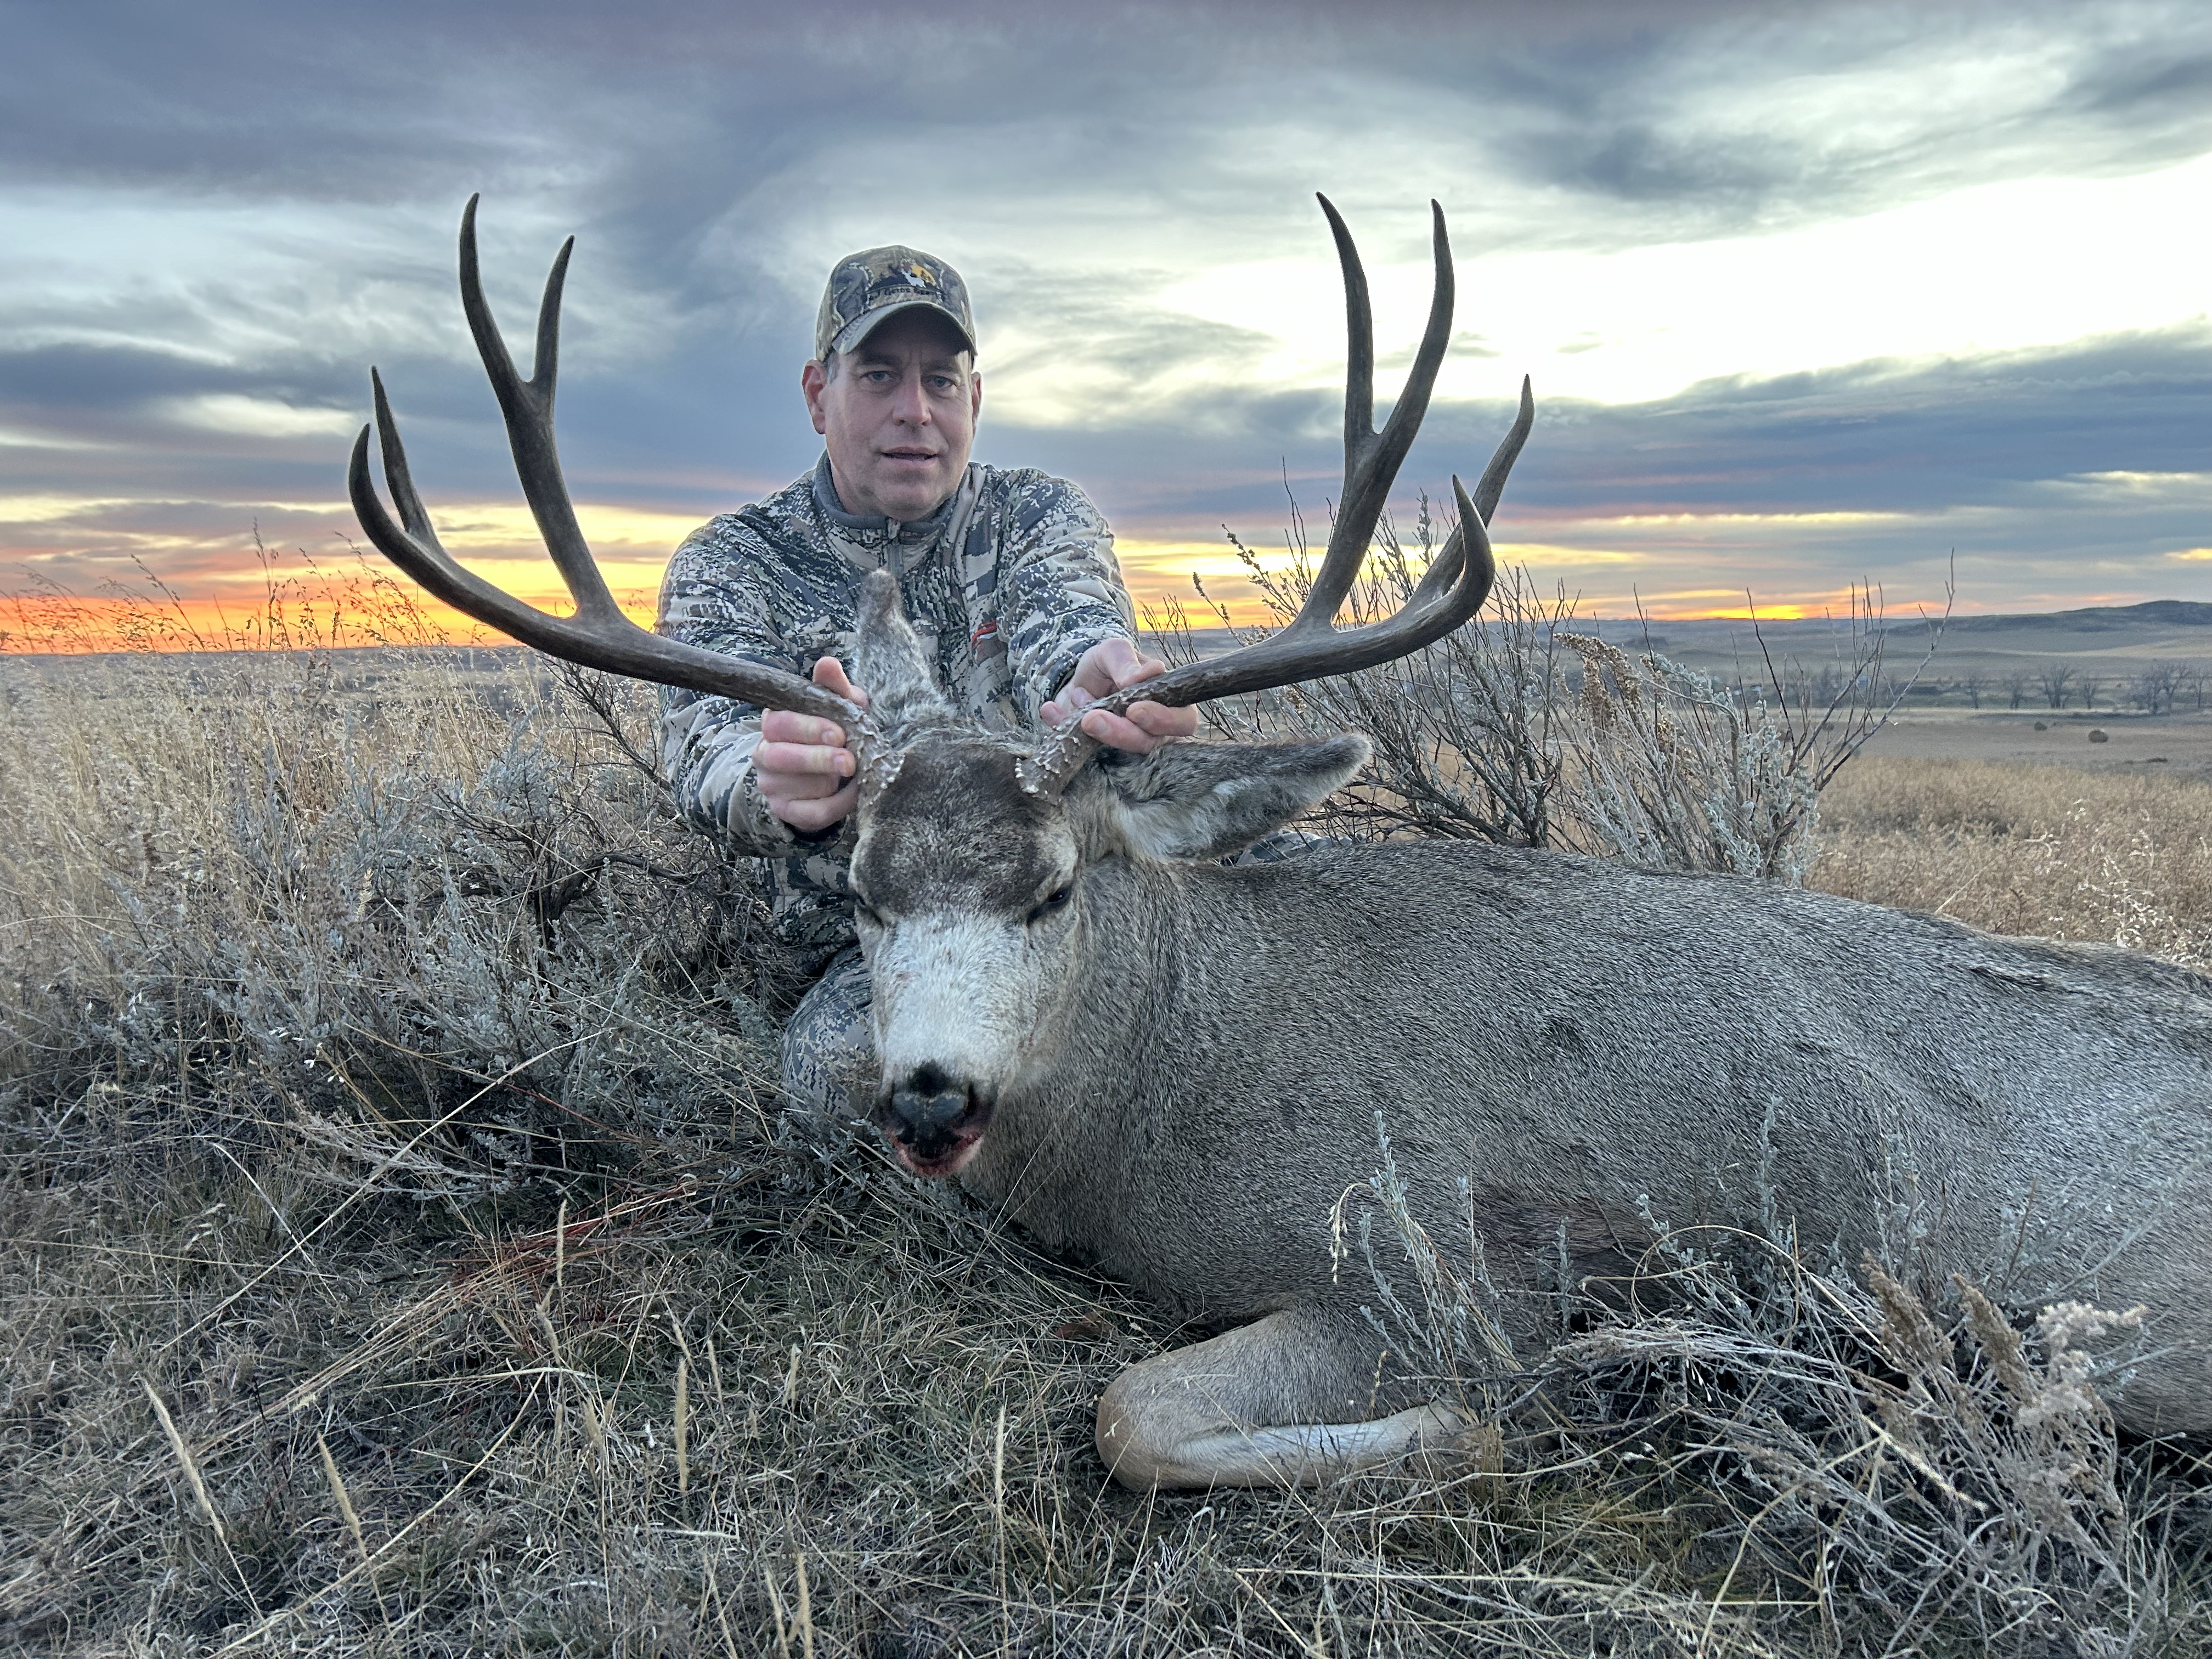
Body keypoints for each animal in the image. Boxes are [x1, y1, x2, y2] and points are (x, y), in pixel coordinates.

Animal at [350, 196, 2212, 1490]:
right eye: (866, 896)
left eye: (1055, 887)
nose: (929, 1094)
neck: (1183, 1082)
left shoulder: (1428, 1258)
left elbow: (1139, 1413)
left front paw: (1552, 1398)